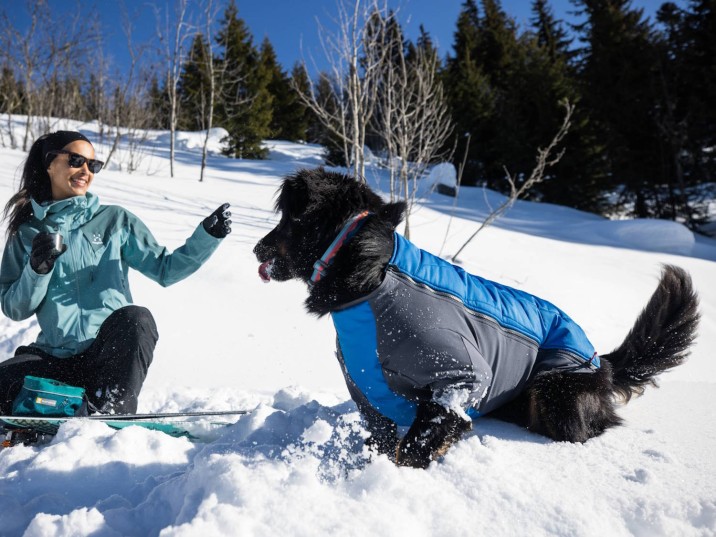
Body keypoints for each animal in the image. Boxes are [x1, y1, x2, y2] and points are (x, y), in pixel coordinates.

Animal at [255, 168, 704, 464]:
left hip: (554, 390)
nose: (257, 249)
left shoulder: (457, 377)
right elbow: (382, 437)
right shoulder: (366, 387)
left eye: (289, 219)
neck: (373, 277)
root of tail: (602, 364)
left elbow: (413, 446)